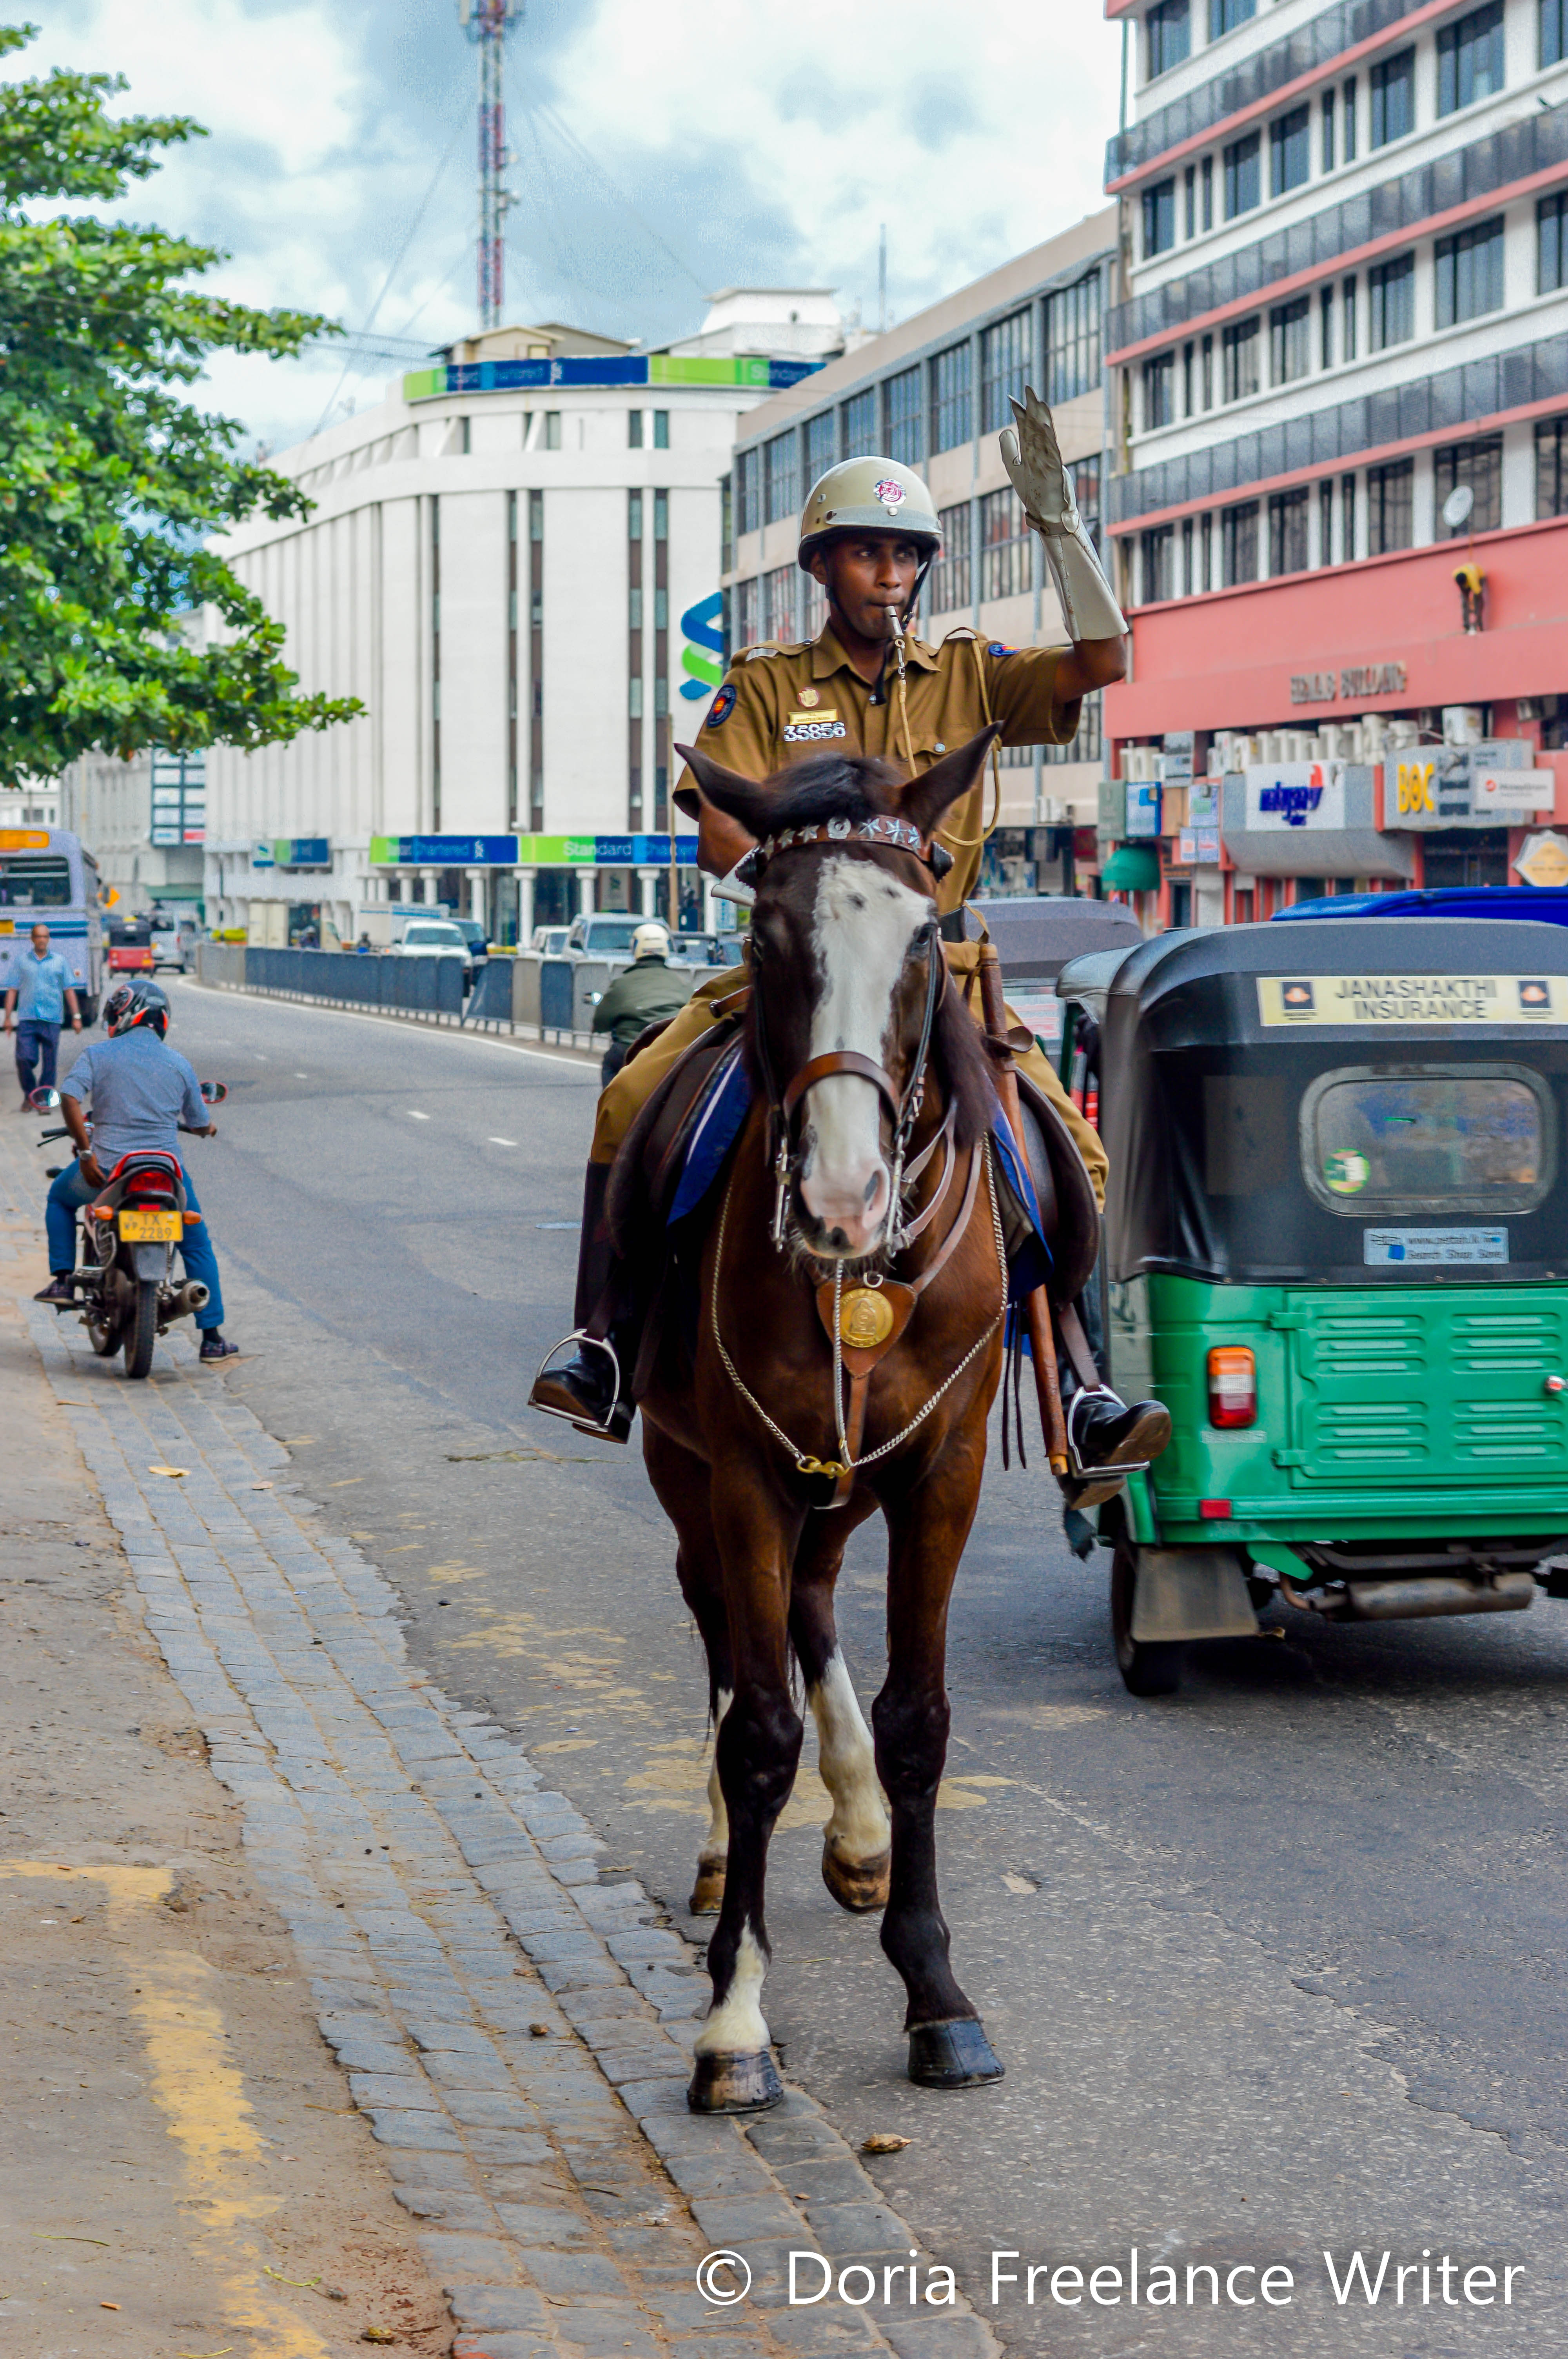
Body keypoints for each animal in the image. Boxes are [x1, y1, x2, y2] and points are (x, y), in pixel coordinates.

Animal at [641, 726, 1014, 2114]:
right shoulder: (745, 1466)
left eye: (922, 940)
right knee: (727, 1625)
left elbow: (918, 1720)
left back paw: (857, 1836)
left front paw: (938, 1994)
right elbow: (756, 1730)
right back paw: (722, 1854)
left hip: (848, 1476)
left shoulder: (943, 1472)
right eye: (761, 938)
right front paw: (734, 2017)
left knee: (808, 1604)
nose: (842, 1202)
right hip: (690, 1463)